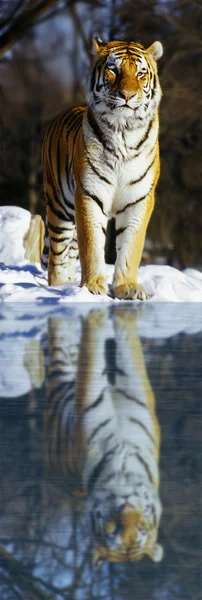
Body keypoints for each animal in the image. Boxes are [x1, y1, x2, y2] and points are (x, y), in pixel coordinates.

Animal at [41, 37, 163, 300]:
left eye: (141, 73)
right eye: (113, 70)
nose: (127, 95)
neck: (123, 131)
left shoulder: (139, 198)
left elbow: (131, 246)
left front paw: (127, 288)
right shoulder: (89, 193)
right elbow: (92, 244)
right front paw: (93, 286)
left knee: (70, 251)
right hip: (59, 206)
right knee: (57, 255)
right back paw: (58, 288)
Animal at [45, 312, 163, 564]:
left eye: (140, 528)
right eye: (114, 531)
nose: (127, 506)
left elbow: (114, 355)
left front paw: (107, 317)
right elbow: (103, 356)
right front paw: (111, 314)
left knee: (63, 351)